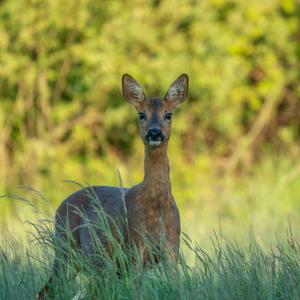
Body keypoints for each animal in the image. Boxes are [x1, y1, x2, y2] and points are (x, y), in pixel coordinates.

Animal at [37, 72, 188, 298]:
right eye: (141, 114)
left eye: (168, 114)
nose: (154, 133)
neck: (156, 207)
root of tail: (60, 206)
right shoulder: (135, 246)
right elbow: (136, 292)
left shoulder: (171, 247)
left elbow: (177, 288)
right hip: (65, 247)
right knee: (46, 290)